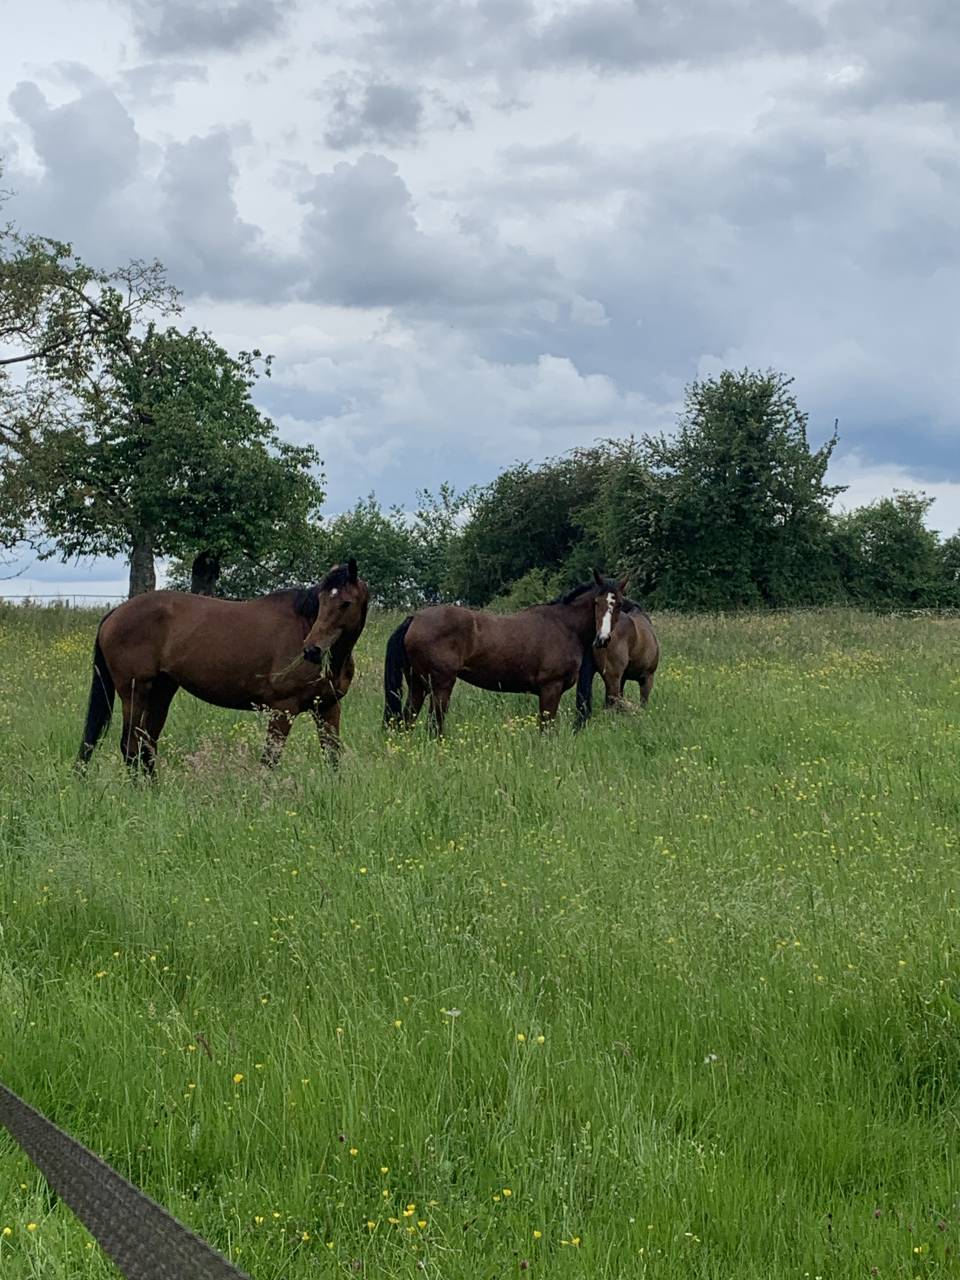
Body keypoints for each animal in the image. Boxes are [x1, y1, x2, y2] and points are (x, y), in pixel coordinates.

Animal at [77, 560, 369, 774]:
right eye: (322, 600)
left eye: (345, 603)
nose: (312, 650)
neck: (303, 623)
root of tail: (115, 613)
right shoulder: (283, 709)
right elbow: (270, 761)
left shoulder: (328, 707)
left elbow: (332, 756)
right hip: (135, 692)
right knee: (131, 746)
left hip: (161, 691)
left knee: (147, 745)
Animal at [383, 570, 629, 736]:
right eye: (596, 602)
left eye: (617, 604)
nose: (603, 638)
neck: (565, 626)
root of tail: (414, 619)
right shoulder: (550, 689)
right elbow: (545, 730)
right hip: (440, 686)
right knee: (434, 725)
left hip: (418, 685)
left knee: (407, 720)